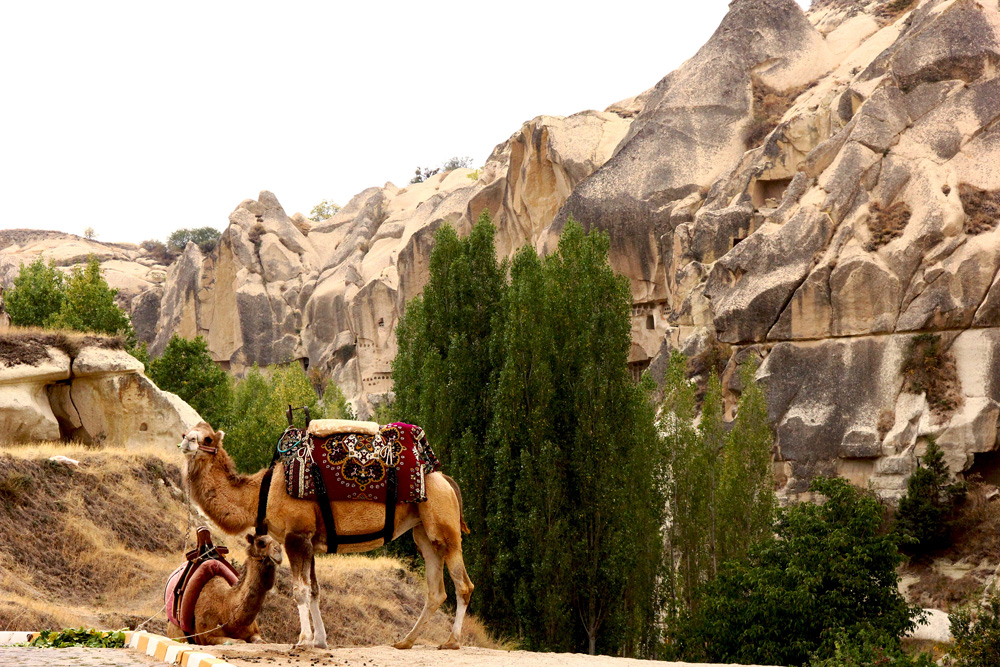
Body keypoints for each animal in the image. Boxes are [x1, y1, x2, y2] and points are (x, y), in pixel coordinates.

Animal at [178, 422, 474, 652]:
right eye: (188, 431)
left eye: (206, 438)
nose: (185, 440)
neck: (261, 493)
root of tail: (446, 480)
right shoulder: (310, 540)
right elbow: (315, 591)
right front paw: (320, 640)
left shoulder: (296, 536)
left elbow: (300, 591)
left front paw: (303, 640)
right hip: (425, 533)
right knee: (436, 590)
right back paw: (405, 642)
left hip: (445, 526)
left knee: (463, 584)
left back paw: (451, 641)